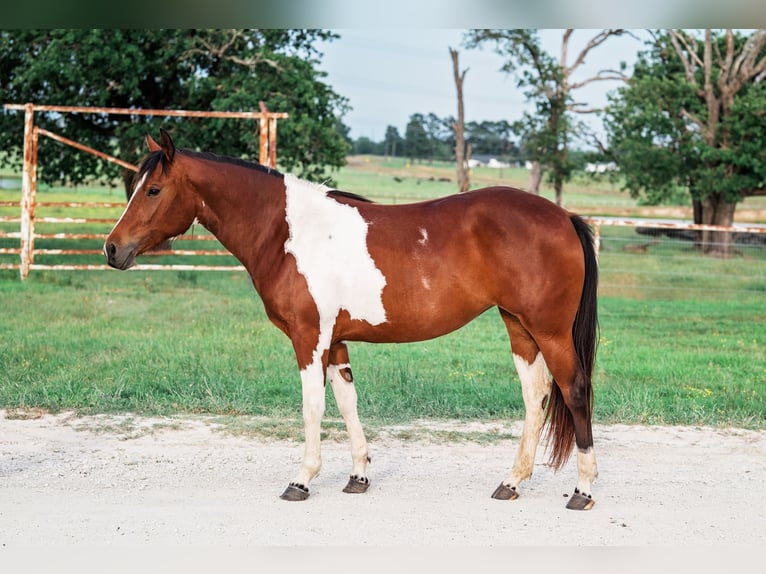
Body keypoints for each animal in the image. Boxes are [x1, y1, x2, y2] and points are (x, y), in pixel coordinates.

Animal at [104, 129, 600, 510]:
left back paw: (583, 489)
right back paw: (511, 482)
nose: (112, 249)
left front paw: (302, 479)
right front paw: (358, 475)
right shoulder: (336, 341)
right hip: (519, 326)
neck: (287, 231)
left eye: (153, 190)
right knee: (536, 395)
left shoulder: (309, 338)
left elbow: (312, 407)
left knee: (574, 390)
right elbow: (347, 403)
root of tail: (563, 216)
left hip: (550, 331)